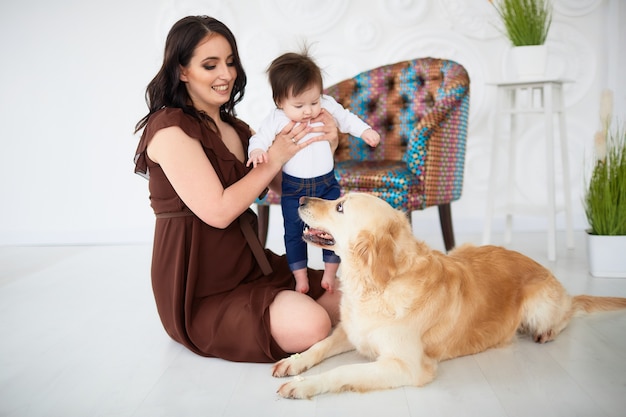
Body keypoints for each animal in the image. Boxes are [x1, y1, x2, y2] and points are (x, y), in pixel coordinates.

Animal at [272, 192, 626, 396]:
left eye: (340, 207)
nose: (300, 199)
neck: (375, 285)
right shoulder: (351, 331)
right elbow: (319, 345)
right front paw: (293, 362)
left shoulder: (407, 366)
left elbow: (343, 370)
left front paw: (306, 386)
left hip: (539, 308)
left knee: (566, 315)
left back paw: (549, 331)